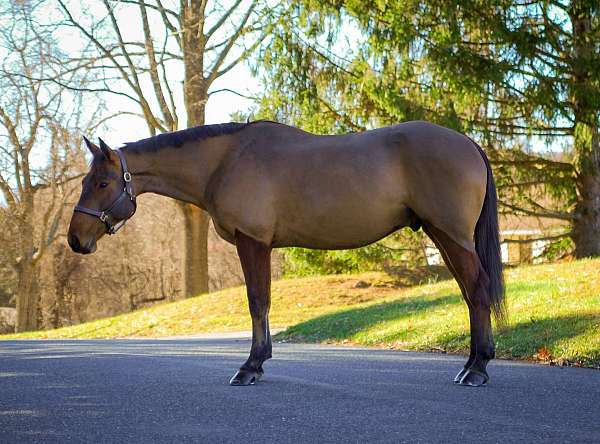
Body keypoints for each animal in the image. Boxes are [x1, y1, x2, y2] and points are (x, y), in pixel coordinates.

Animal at [68, 119, 504, 386]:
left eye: (103, 183)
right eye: (89, 182)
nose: (75, 240)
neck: (225, 161)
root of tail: (467, 143)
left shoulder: (253, 241)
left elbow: (257, 301)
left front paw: (250, 366)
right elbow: (261, 303)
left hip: (452, 235)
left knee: (478, 291)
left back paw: (478, 369)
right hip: (442, 235)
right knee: (470, 294)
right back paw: (470, 364)